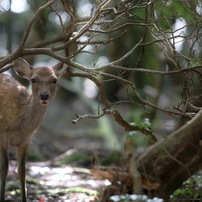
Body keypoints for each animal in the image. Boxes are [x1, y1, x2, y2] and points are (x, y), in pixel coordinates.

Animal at [0, 57, 65, 201]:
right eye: (33, 79)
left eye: (54, 80)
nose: (44, 95)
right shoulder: (2, 136)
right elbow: (4, 169)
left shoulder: (26, 141)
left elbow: (22, 170)